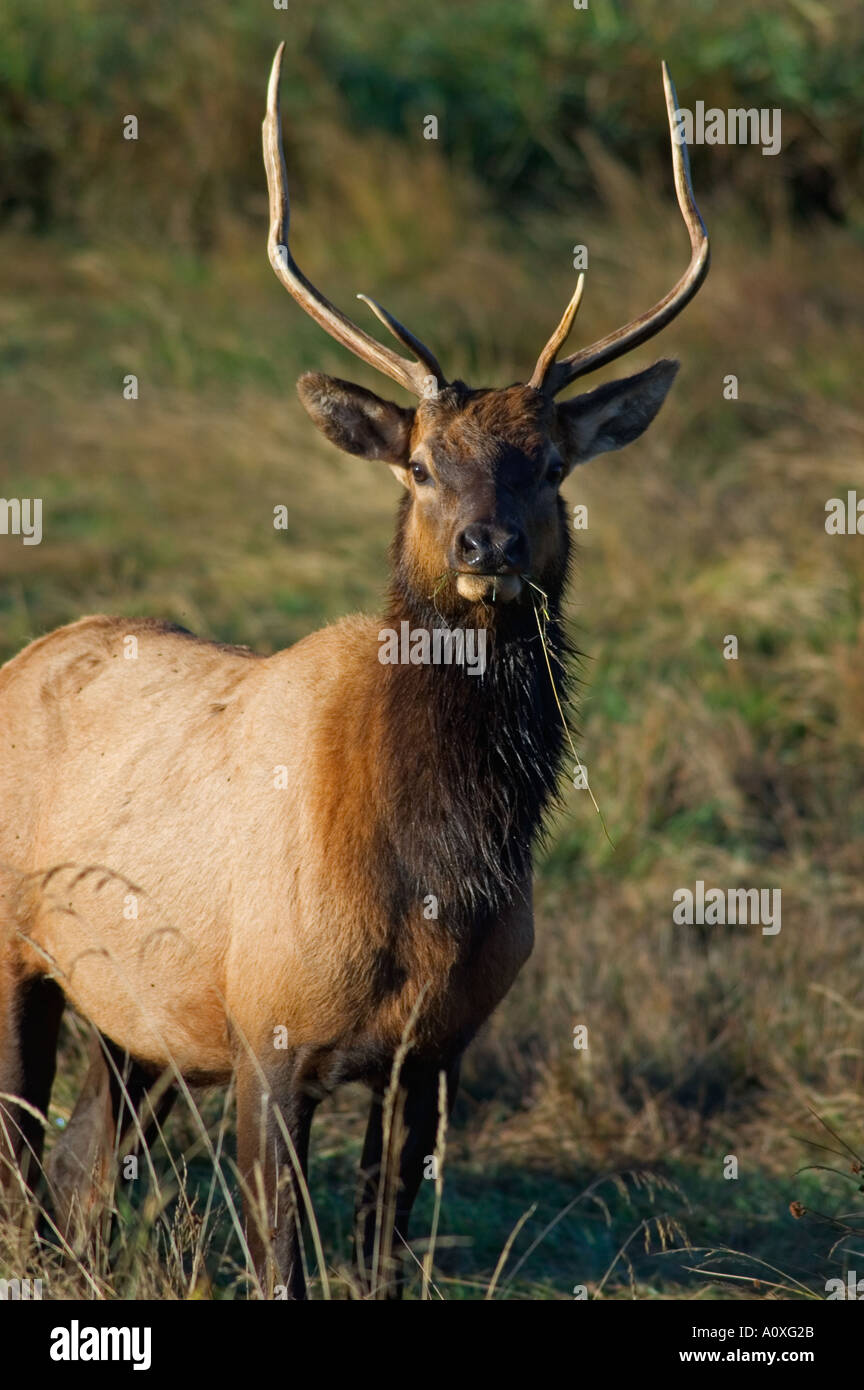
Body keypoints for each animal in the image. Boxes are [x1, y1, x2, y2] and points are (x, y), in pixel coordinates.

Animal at [0, 44, 708, 1297]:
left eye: (553, 462)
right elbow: (283, 1260)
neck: (431, 881)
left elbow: (381, 1251)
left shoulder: (436, 1048)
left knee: (81, 1172)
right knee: (24, 1163)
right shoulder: (268, 1028)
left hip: (139, 1014)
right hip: (16, 948)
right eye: (421, 464)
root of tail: (28, 649)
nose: (488, 546)